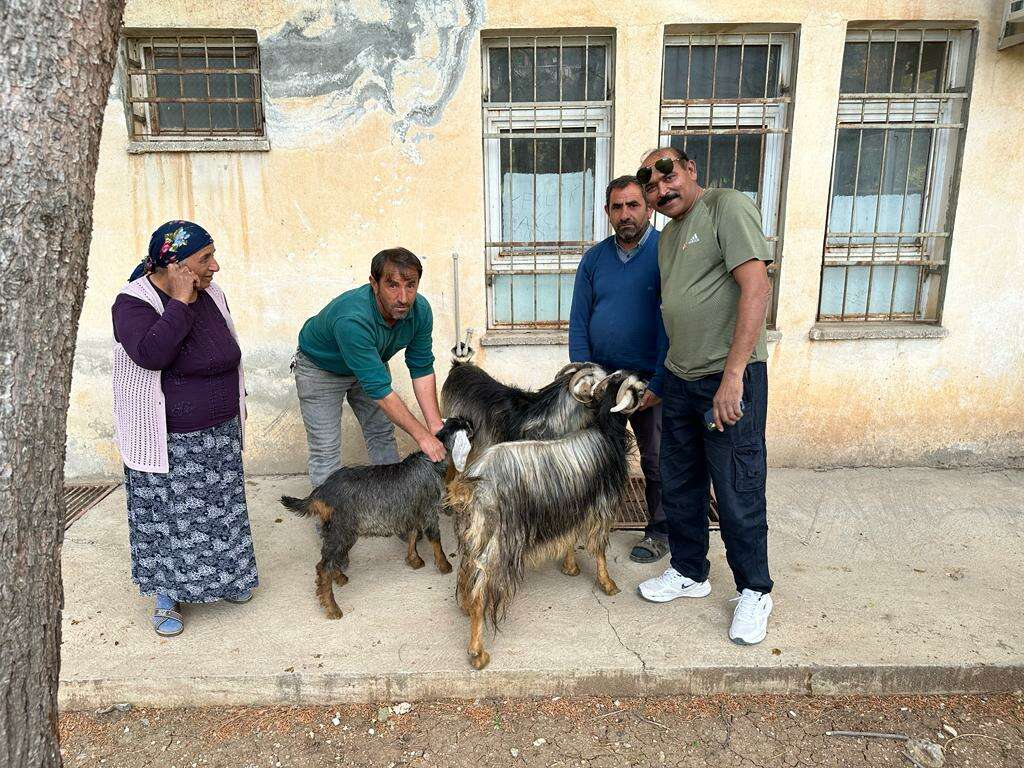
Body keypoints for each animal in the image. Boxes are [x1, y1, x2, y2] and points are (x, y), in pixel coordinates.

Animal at [444, 372, 643, 667]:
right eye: (633, 387)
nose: (648, 386)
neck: (604, 431)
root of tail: (469, 485)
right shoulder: (602, 506)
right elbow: (598, 550)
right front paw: (608, 584)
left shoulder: (571, 507)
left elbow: (570, 538)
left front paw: (570, 567)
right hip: (497, 543)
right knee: (482, 592)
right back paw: (478, 652)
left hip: (473, 536)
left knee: (467, 572)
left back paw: (465, 608)